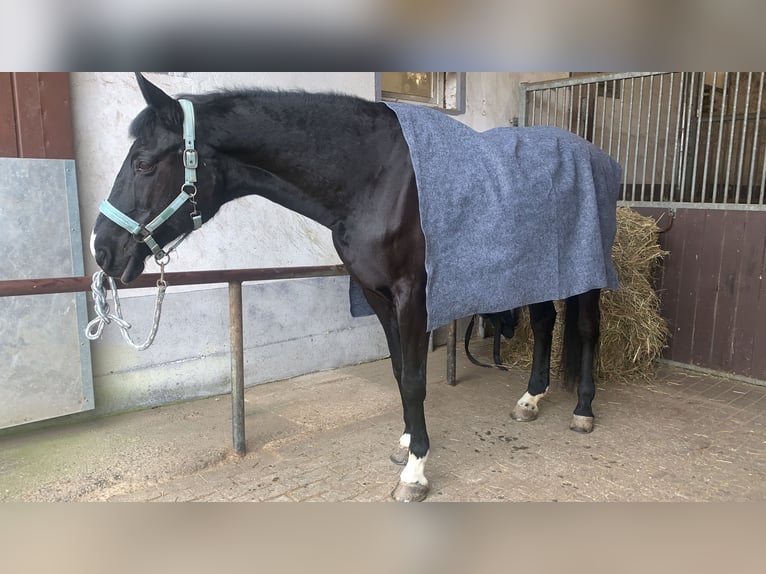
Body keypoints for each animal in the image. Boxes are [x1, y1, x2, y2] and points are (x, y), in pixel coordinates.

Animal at [91, 73, 618, 502]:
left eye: (142, 164)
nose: (103, 250)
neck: (375, 179)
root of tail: (595, 155)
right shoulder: (376, 294)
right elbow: (399, 371)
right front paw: (406, 443)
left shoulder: (412, 296)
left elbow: (414, 377)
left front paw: (415, 472)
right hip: (539, 269)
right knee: (546, 323)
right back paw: (530, 400)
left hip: (587, 271)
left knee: (586, 331)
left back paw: (583, 410)